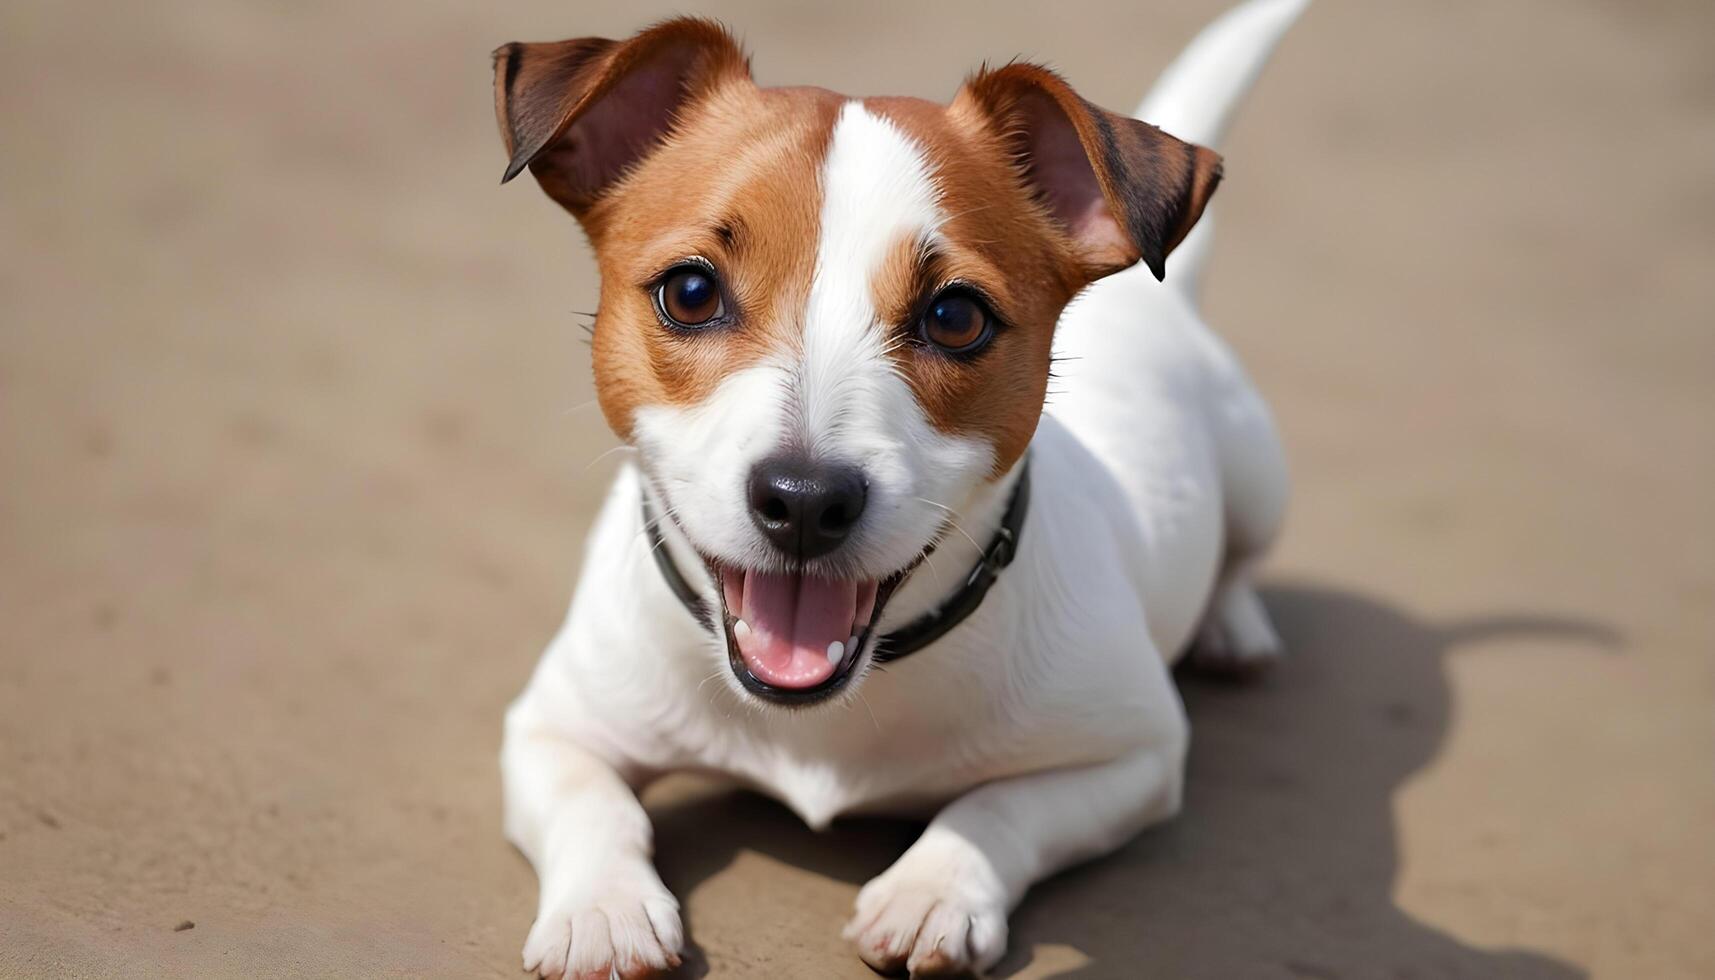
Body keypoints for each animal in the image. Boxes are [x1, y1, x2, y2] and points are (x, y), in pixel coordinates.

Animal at [493, 1, 1296, 974]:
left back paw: (1232, 625)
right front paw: (603, 908)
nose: (804, 499)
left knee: (1240, 558)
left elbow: (999, 805)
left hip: (1257, 476)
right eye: (689, 292)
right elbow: (592, 802)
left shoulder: (1133, 755)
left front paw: (934, 888)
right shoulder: (550, 726)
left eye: (954, 316)